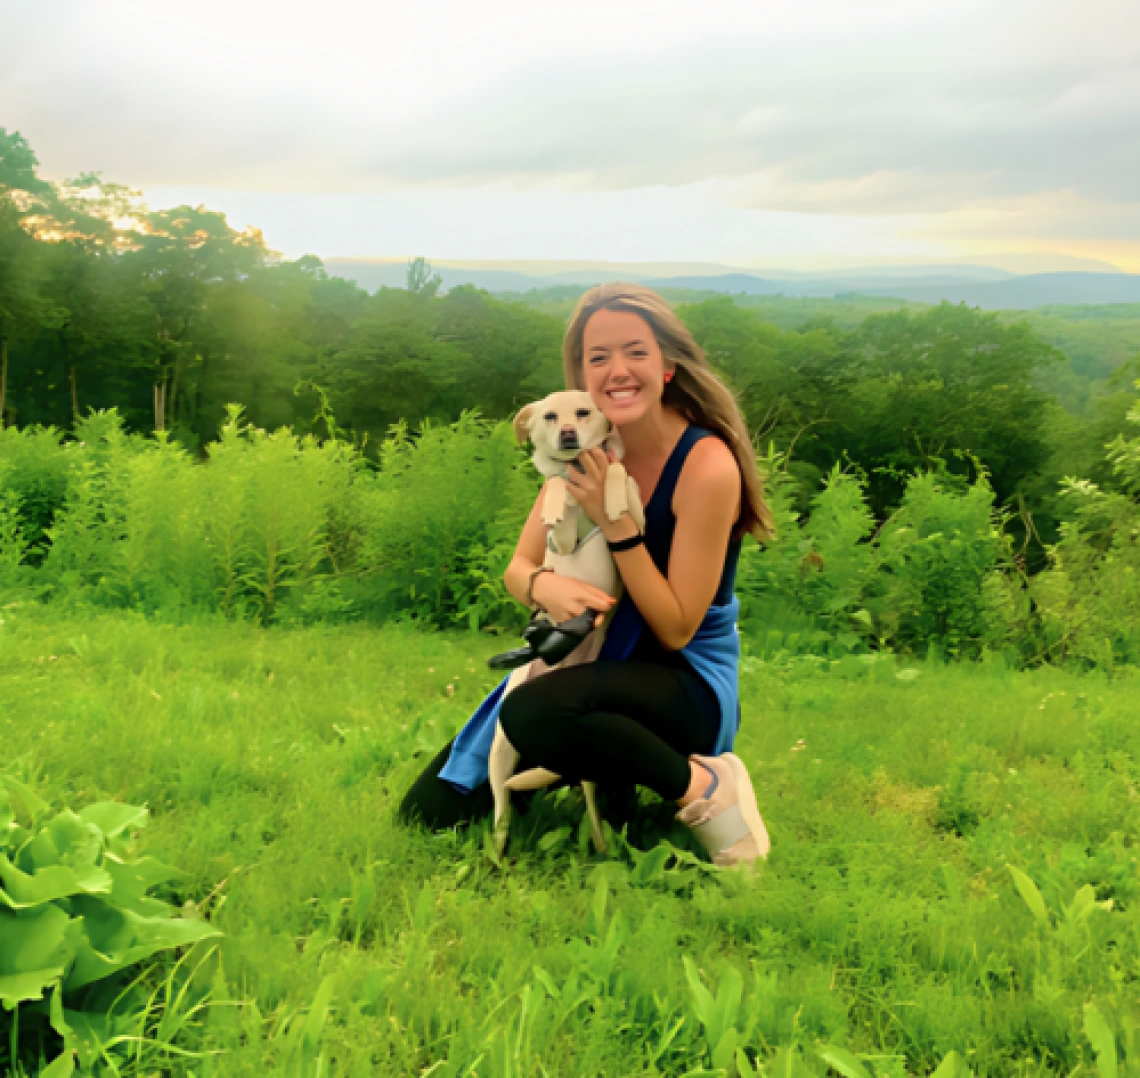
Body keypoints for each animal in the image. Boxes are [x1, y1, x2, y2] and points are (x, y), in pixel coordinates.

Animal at [490, 389, 647, 852]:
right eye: (549, 416)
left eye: (583, 412)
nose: (567, 434)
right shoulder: (557, 543)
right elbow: (557, 487)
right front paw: (559, 502)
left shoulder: (639, 520)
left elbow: (617, 471)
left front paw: (611, 497)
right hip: (499, 751)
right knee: (501, 805)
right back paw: (497, 852)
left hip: (588, 762)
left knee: (590, 802)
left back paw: (601, 847)